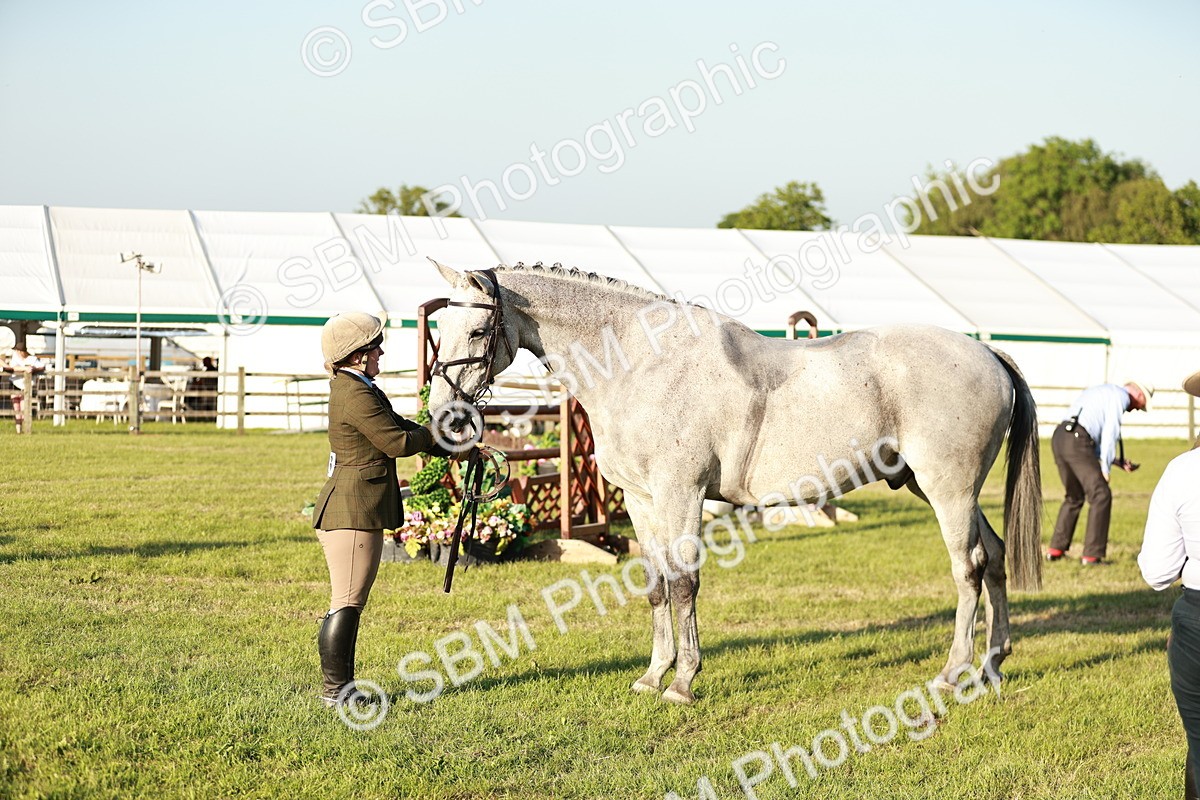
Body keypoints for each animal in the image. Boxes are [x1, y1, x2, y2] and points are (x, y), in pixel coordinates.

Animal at [427, 261, 1042, 704]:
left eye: (478, 330)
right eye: (438, 330)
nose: (445, 418)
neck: (642, 363)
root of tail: (986, 352)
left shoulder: (682, 493)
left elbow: (684, 584)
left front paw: (682, 683)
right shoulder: (642, 500)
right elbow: (655, 583)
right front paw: (652, 676)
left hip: (948, 490)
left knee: (968, 568)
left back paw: (952, 672)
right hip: (939, 489)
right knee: (994, 556)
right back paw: (992, 666)